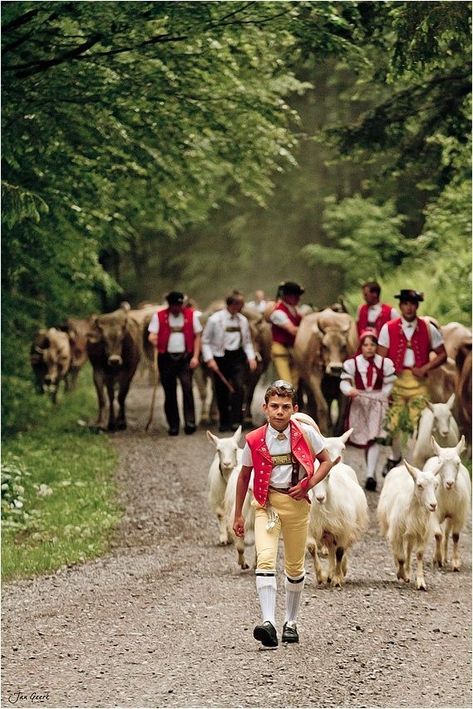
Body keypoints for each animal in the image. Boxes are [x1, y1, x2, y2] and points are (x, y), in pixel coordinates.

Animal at [294, 306, 356, 434]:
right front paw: (324, 431)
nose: (336, 368)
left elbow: (342, 409)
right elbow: (322, 407)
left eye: (344, 346)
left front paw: (338, 430)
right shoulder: (314, 378)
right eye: (325, 346)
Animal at [376, 460, 438, 588]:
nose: (433, 505)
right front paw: (401, 574)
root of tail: (400, 468)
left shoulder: (422, 532)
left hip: (411, 533)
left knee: (408, 550)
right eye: (419, 485)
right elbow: (400, 557)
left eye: (436, 485)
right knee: (396, 550)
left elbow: (419, 554)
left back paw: (408, 571)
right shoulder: (397, 531)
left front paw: (420, 581)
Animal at [422, 436, 470, 568]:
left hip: (450, 516)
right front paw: (437, 558)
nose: (449, 483)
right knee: (442, 533)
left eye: (458, 463)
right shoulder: (434, 513)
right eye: (440, 462)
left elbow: (456, 536)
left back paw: (446, 557)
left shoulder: (460, 514)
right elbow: (438, 535)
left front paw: (456, 562)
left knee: (447, 533)